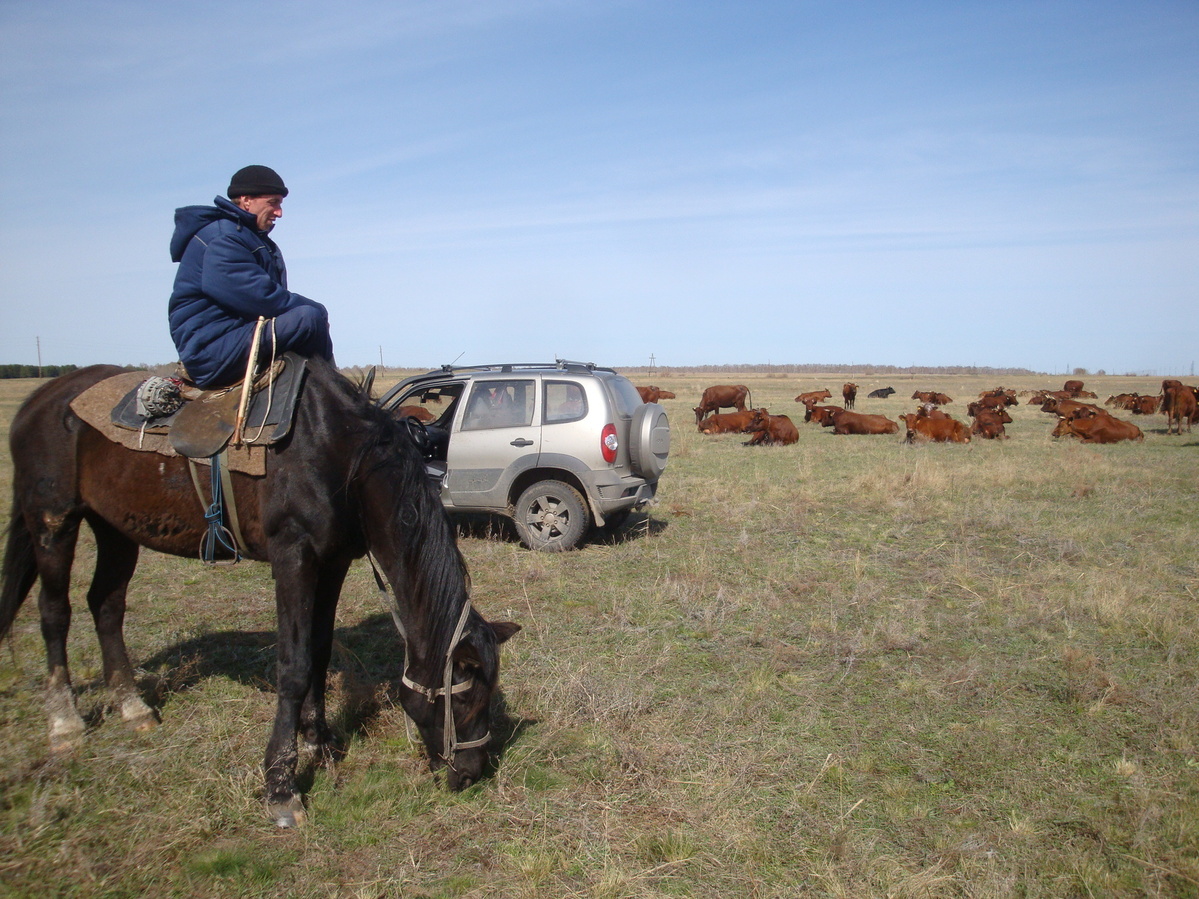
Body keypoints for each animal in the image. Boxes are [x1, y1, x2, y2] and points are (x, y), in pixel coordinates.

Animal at [3, 361, 520, 829]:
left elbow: (319, 650)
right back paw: (64, 721)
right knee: (54, 612)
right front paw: (281, 785)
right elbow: (293, 667)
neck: (343, 456)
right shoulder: (293, 558)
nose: (470, 774)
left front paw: (319, 741)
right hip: (54, 521)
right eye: (466, 701)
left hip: (115, 528)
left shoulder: (332, 562)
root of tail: (41, 400)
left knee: (106, 606)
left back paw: (133, 707)